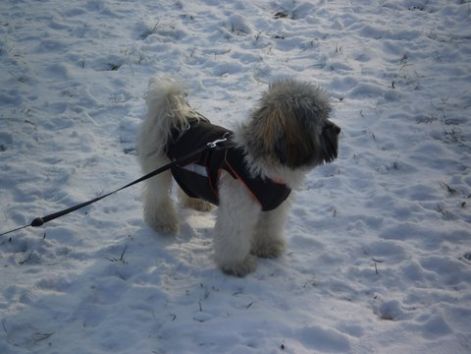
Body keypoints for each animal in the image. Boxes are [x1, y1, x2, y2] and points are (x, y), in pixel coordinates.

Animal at [136, 77, 340, 276]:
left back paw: (196, 203)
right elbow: (234, 238)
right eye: (321, 121)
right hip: (160, 170)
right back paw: (162, 223)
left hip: (188, 172)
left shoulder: (273, 207)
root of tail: (176, 120)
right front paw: (236, 265)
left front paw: (267, 247)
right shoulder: (239, 209)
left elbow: (268, 228)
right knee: (157, 198)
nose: (338, 129)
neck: (266, 164)